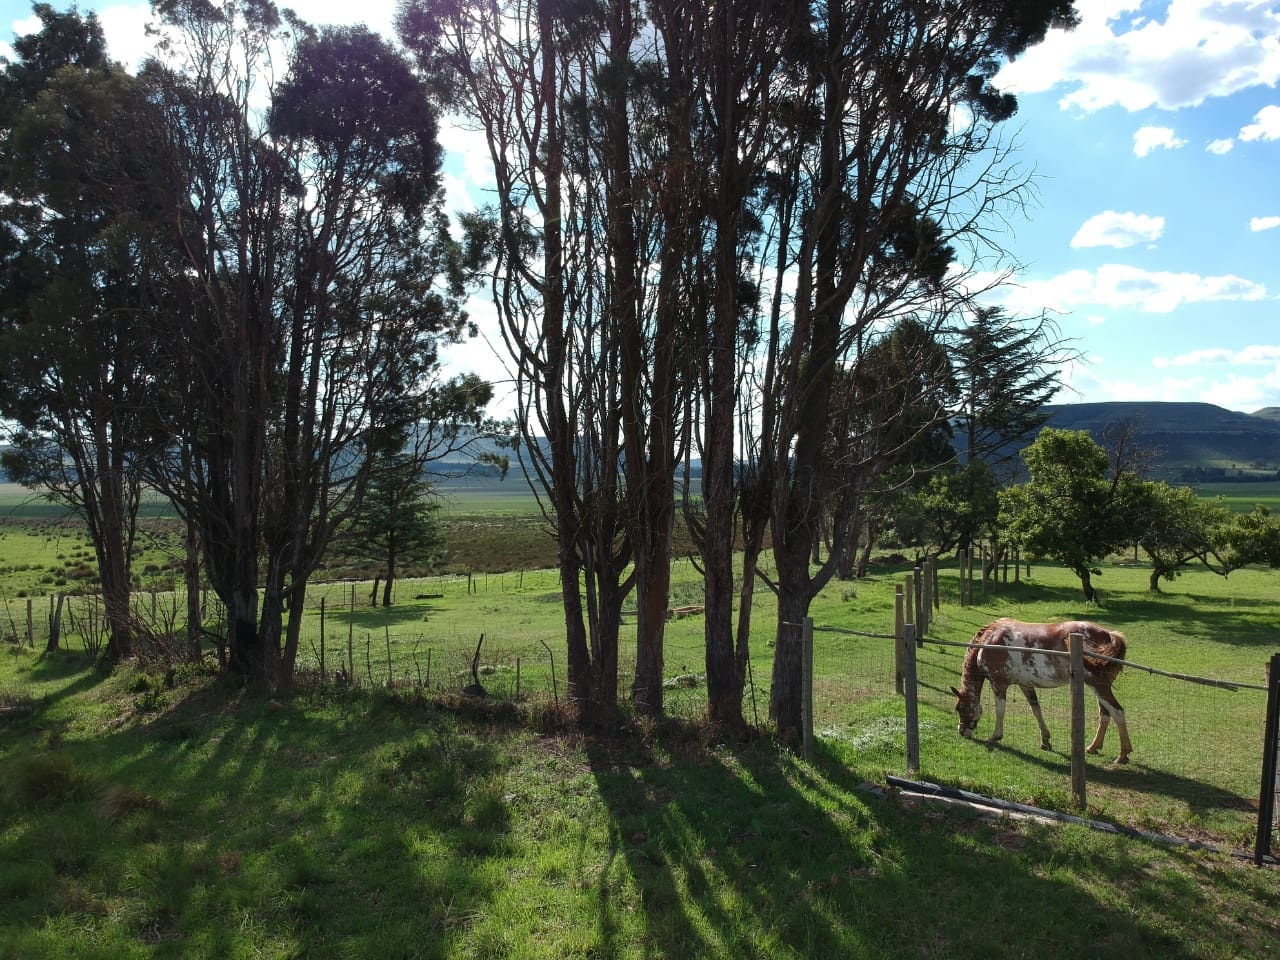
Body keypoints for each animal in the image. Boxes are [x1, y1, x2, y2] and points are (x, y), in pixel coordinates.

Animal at [949, 618, 1133, 764]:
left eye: (960, 708)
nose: (961, 731)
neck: (987, 641)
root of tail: (1110, 635)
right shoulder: (1025, 684)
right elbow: (1036, 710)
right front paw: (1045, 740)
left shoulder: (998, 684)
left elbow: (1000, 711)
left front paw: (995, 736)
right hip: (1099, 687)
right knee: (1105, 714)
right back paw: (1094, 747)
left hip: (1098, 685)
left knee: (1117, 712)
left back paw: (1123, 754)